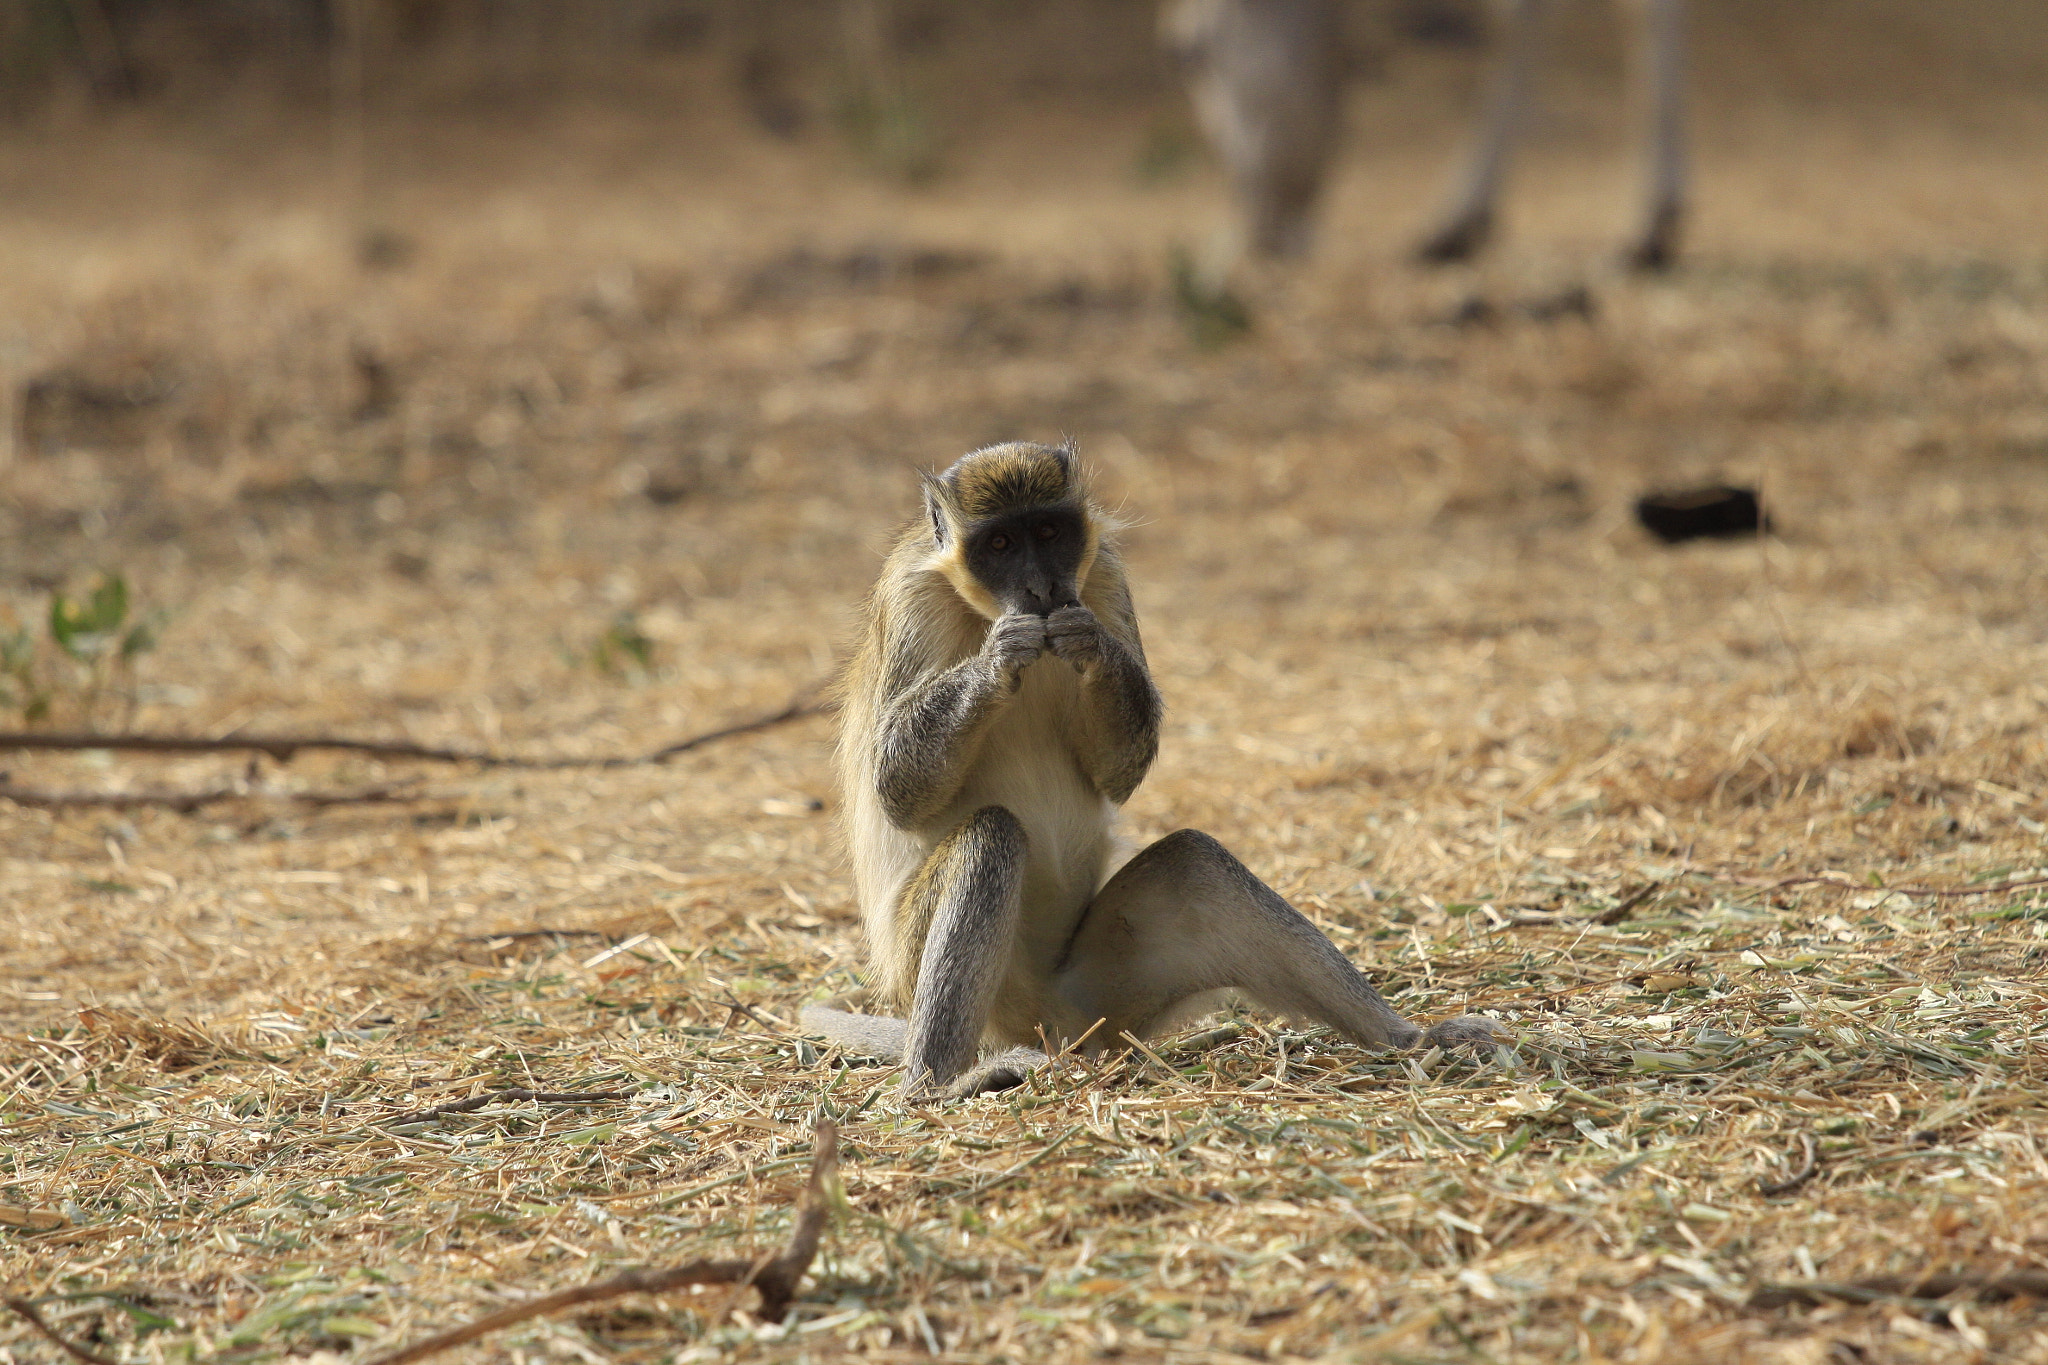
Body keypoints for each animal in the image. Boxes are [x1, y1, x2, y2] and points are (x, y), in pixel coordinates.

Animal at [802, 448, 1507, 1096]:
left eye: (1049, 532)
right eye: (1000, 544)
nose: (1042, 590)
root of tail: (1053, 1027)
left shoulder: (1105, 573)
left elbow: (1117, 773)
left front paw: (1091, 644)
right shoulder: (910, 598)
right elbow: (896, 792)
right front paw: (1002, 655)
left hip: (1101, 990)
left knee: (1196, 862)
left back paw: (1410, 1039)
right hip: (944, 976)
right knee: (992, 836)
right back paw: (935, 1083)